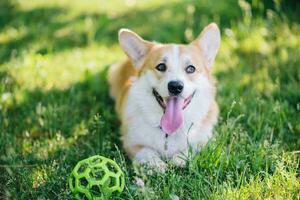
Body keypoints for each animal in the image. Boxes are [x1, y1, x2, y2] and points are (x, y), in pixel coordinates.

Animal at [108, 23, 220, 170]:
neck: (169, 132)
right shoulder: (131, 142)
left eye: (191, 68)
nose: (175, 86)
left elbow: (192, 147)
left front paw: (179, 159)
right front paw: (155, 165)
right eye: (161, 66)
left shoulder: (205, 139)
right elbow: (146, 151)